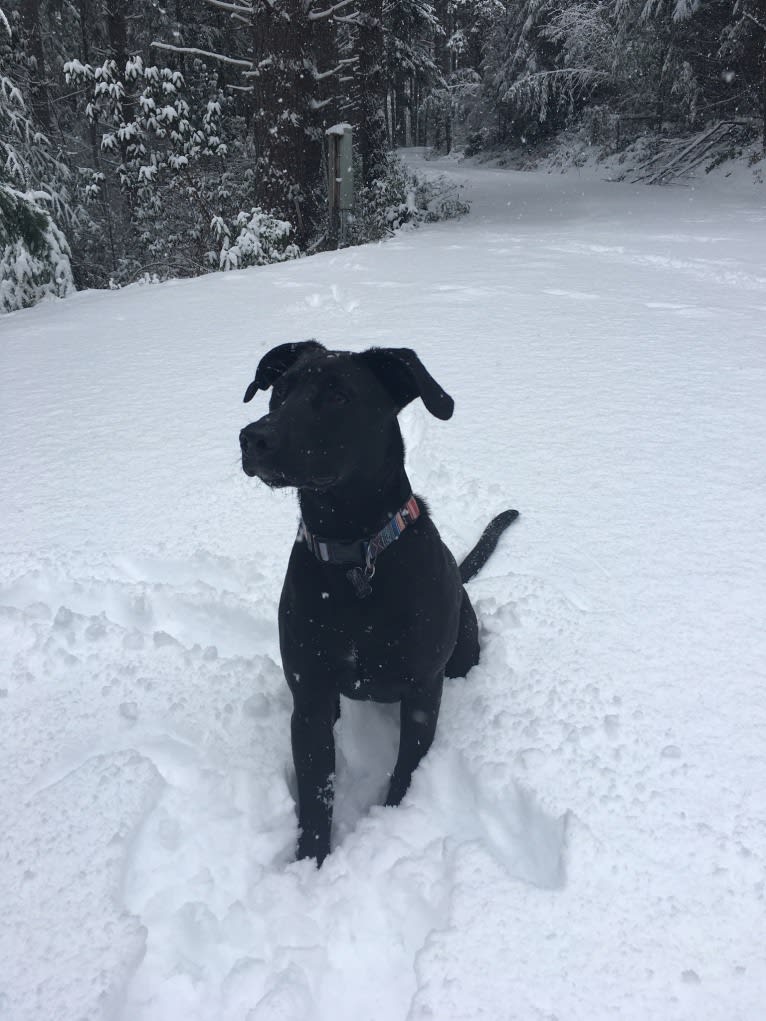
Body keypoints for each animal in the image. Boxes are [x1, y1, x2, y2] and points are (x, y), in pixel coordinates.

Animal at [243, 341, 518, 861]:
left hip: (461, 653)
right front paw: (310, 863)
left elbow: (406, 771)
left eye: (338, 396)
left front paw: (392, 823)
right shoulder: (308, 698)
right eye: (280, 391)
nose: (252, 438)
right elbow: (316, 794)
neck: (354, 555)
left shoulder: (423, 690)